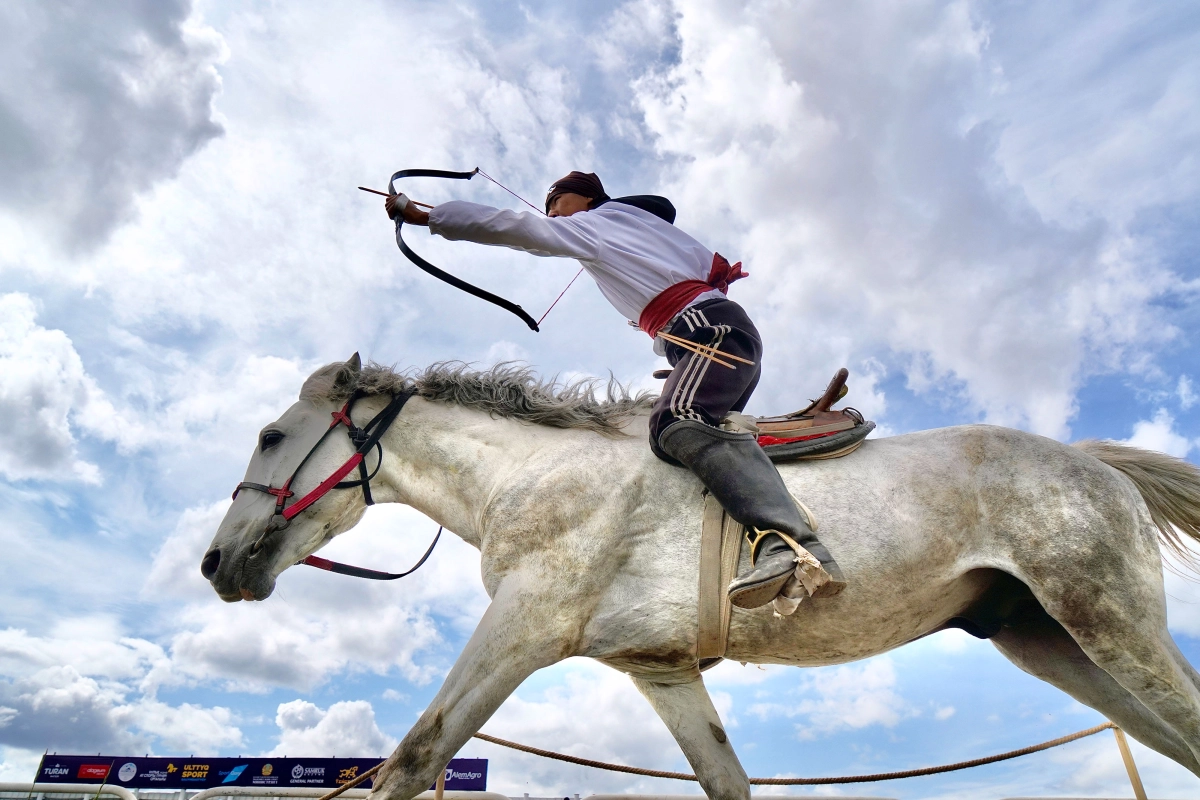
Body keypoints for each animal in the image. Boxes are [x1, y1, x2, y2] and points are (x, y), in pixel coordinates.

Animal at [204, 357, 1200, 800]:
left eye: (270, 436)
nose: (218, 562)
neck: (531, 475)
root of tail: (1094, 462)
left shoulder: (522, 628)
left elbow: (412, 759)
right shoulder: (664, 672)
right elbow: (728, 783)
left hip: (1108, 622)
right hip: (1050, 642)